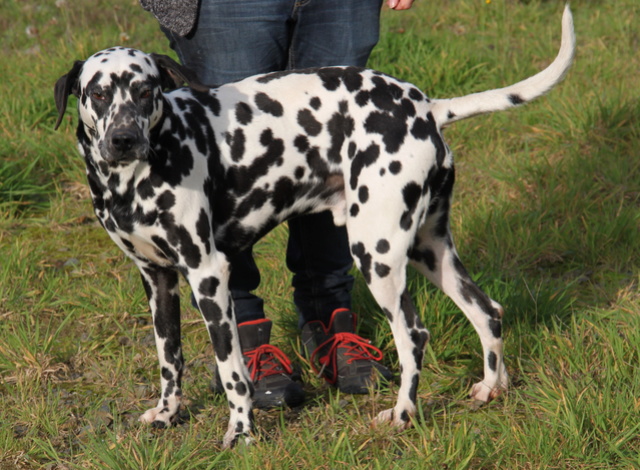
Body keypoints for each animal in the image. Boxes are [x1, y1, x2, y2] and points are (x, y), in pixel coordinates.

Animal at [53, 6, 576, 448]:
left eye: (146, 92)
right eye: (98, 92)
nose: (124, 140)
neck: (131, 176)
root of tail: (426, 106)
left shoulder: (208, 275)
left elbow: (232, 372)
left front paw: (240, 434)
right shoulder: (158, 281)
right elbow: (170, 359)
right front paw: (167, 414)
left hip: (377, 256)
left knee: (414, 336)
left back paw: (403, 414)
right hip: (430, 251)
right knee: (487, 311)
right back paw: (491, 387)